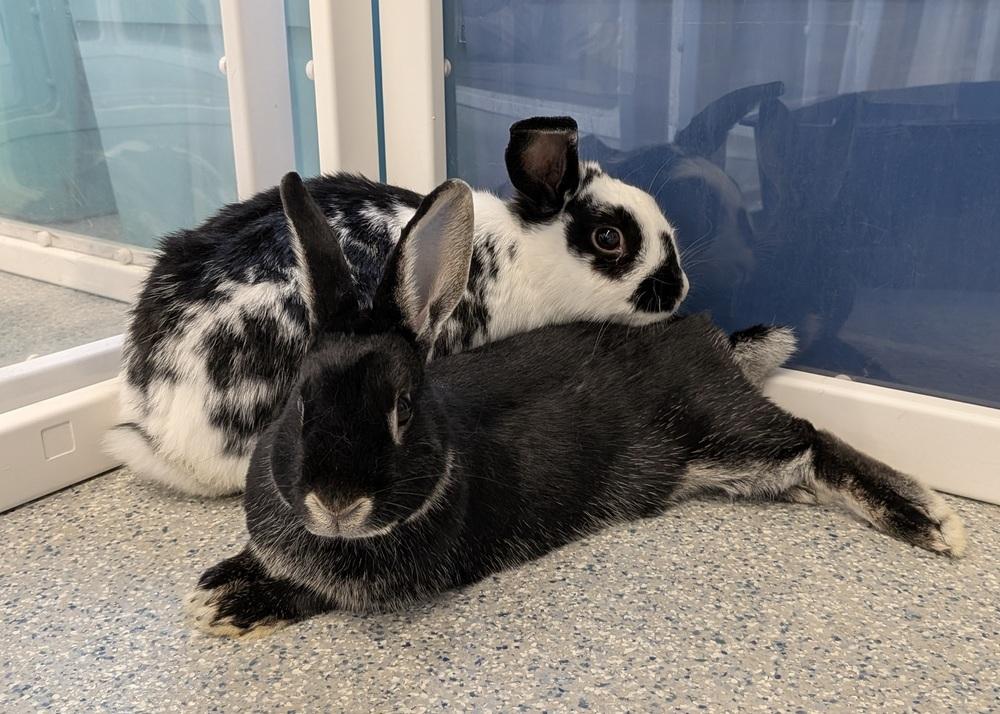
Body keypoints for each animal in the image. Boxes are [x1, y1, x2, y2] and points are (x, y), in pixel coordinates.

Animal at [187, 173, 965, 638]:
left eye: (403, 408)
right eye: (299, 403)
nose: (335, 502)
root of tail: (706, 337)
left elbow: (318, 592)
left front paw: (227, 603)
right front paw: (223, 577)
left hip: (727, 430)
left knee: (812, 438)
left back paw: (930, 520)